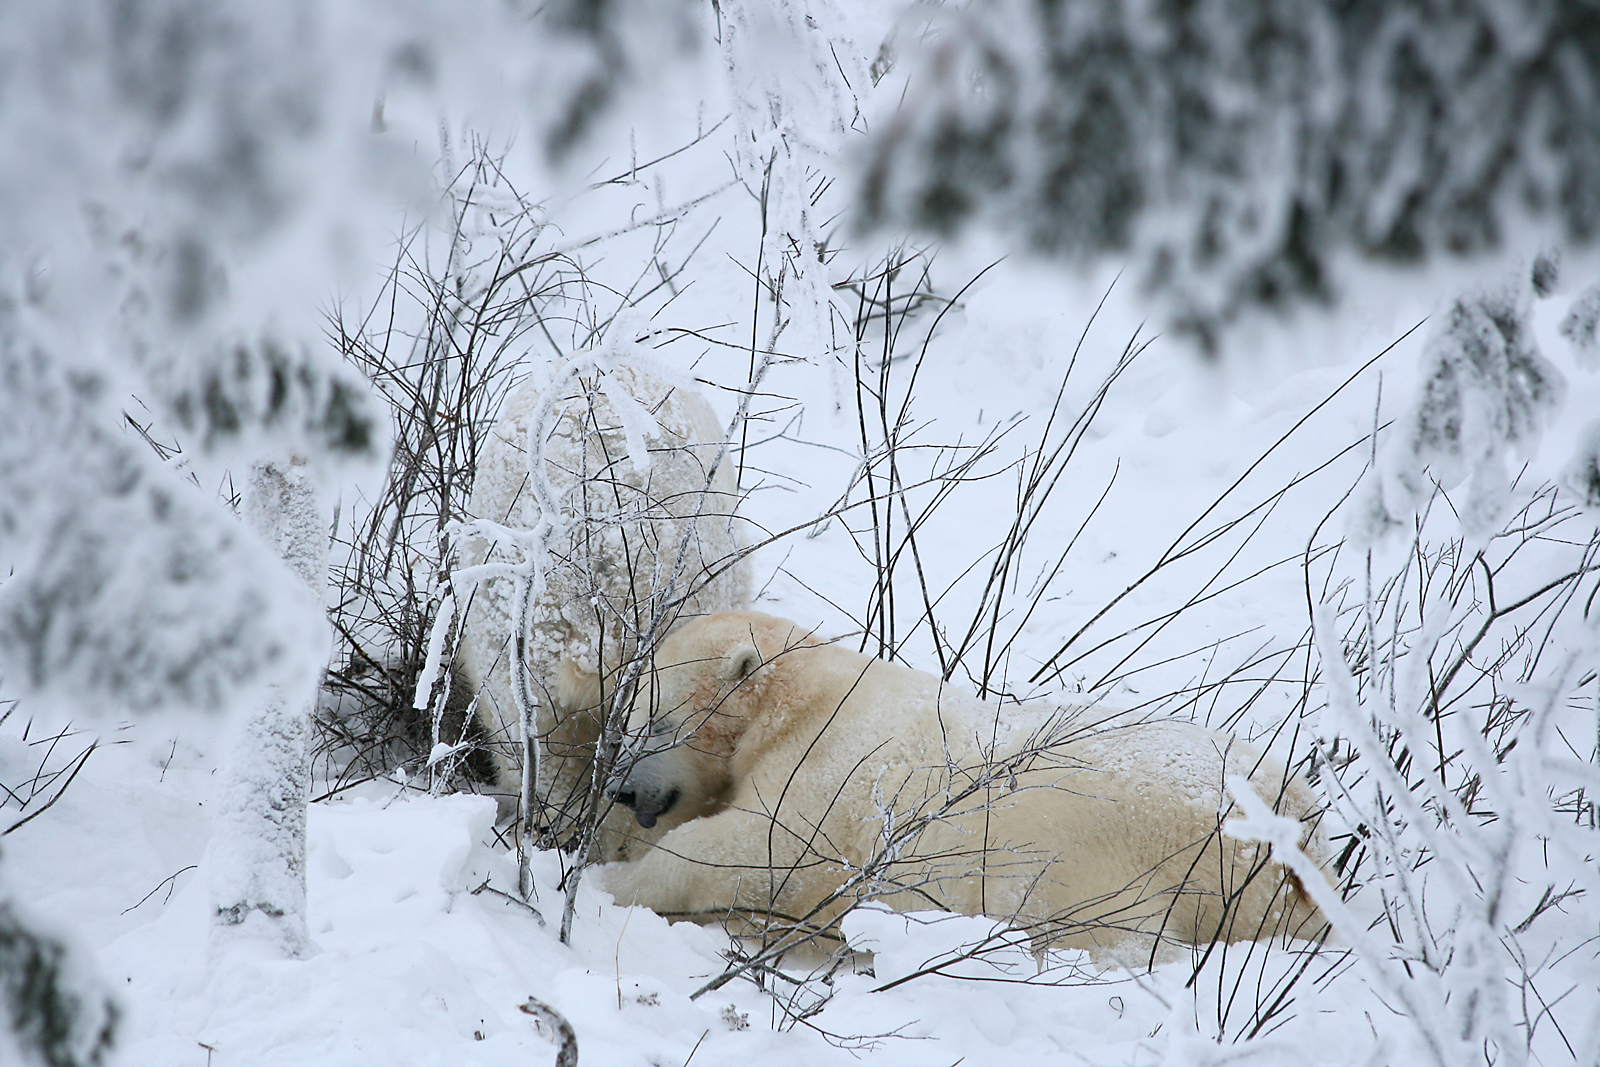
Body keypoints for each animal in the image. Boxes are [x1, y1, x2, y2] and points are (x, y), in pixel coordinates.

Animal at [602, 611, 1328, 963]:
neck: (801, 698)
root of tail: (1298, 826)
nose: (619, 791)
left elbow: (759, 850)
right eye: (630, 714)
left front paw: (614, 886)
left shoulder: (830, 770)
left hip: (1119, 856)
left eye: (657, 720)